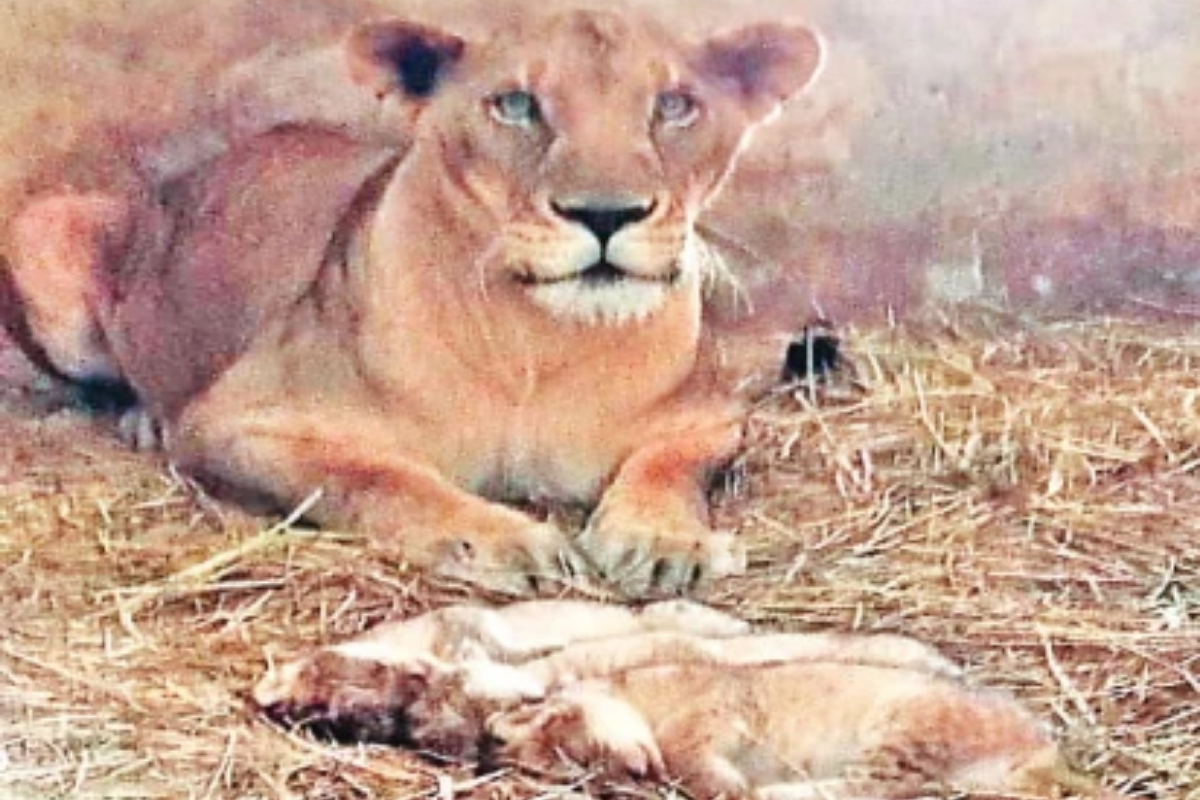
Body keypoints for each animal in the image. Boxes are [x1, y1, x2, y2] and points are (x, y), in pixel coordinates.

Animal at [2, 7, 824, 596]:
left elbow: (672, 466)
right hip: (42, 224)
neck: (537, 343)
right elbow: (377, 475)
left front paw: (662, 542)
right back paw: (141, 418)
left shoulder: (709, 416)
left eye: (675, 106)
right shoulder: (232, 419)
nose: (604, 213)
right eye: (517, 104)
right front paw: (501, 538)